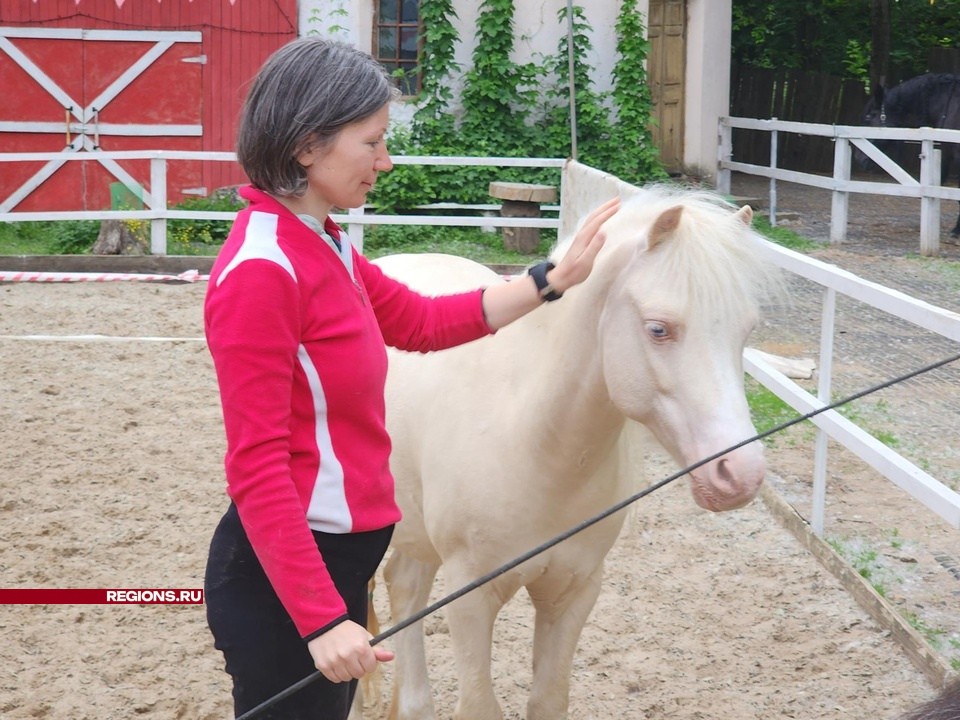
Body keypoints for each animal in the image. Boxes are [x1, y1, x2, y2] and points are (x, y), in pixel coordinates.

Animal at [374, 187, 780, 720]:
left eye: (747, 330)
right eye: (658, 329)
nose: (741, 473)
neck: (534, 440)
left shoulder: (574, 591)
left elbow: (549, 699)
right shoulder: (469, 599)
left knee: (405, 590)